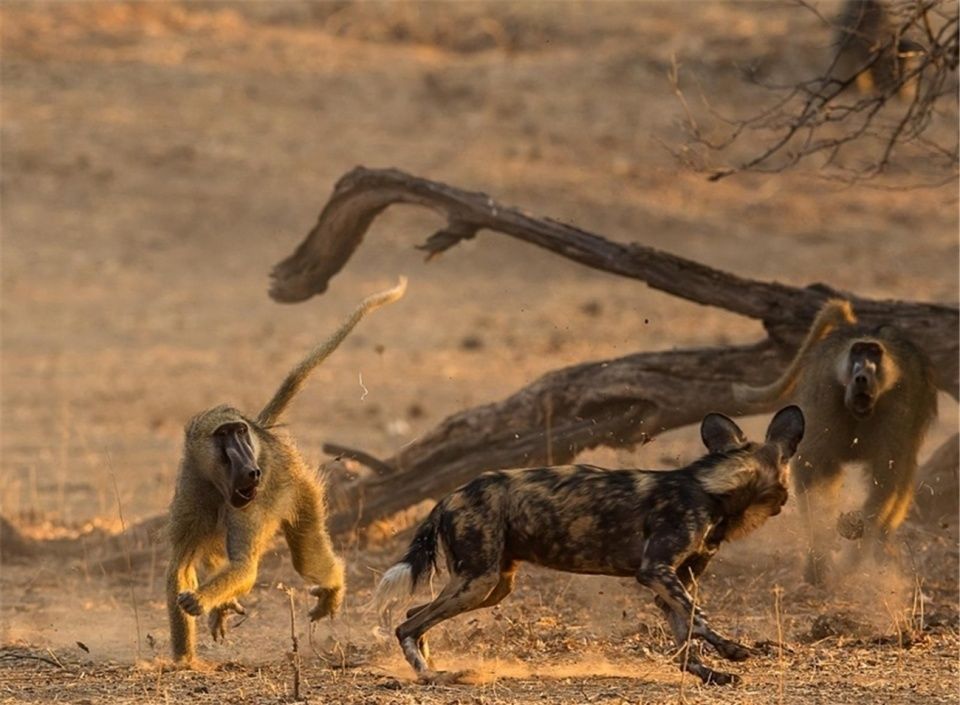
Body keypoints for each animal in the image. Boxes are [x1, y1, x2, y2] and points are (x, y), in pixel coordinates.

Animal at [376, 404, 804, 684]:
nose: (786, 501)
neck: (712, 488)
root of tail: (448, 496)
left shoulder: (673, 581)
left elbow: (686, 634)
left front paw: (708, 673)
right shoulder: (657, 572)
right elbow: (700, 619)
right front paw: (733, 652)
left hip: (491, 585)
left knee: (414, 614)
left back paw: (435, 667)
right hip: (477, 582)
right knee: (406, 624)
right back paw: (430, 676)